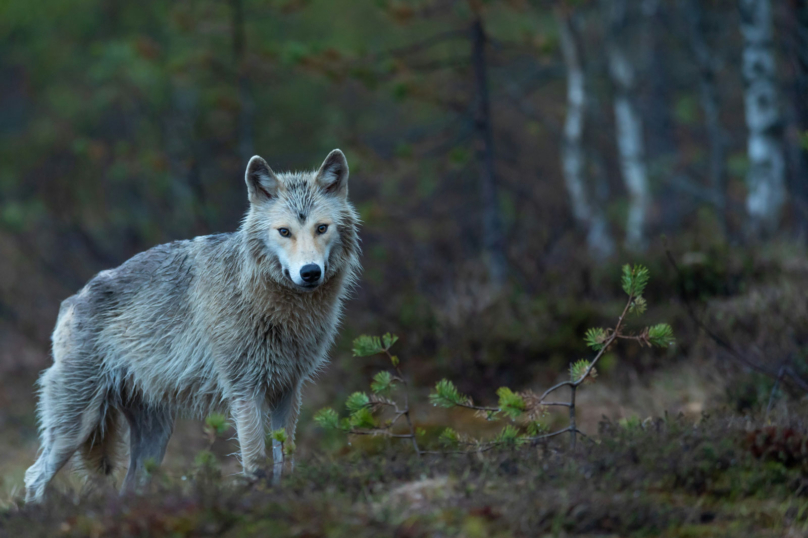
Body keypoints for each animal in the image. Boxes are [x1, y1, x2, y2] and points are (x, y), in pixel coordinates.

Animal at [23, 149, 362, 500]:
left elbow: (287, 458)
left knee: (128, 487)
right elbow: (255, 461)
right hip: (77, 425)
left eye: (321, 228)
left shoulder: (288, 390)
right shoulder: (245, 391)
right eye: (284, 232)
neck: (276, 307)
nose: (310, 272)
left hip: (155, 437)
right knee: (34, 476)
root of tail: (72, 300)